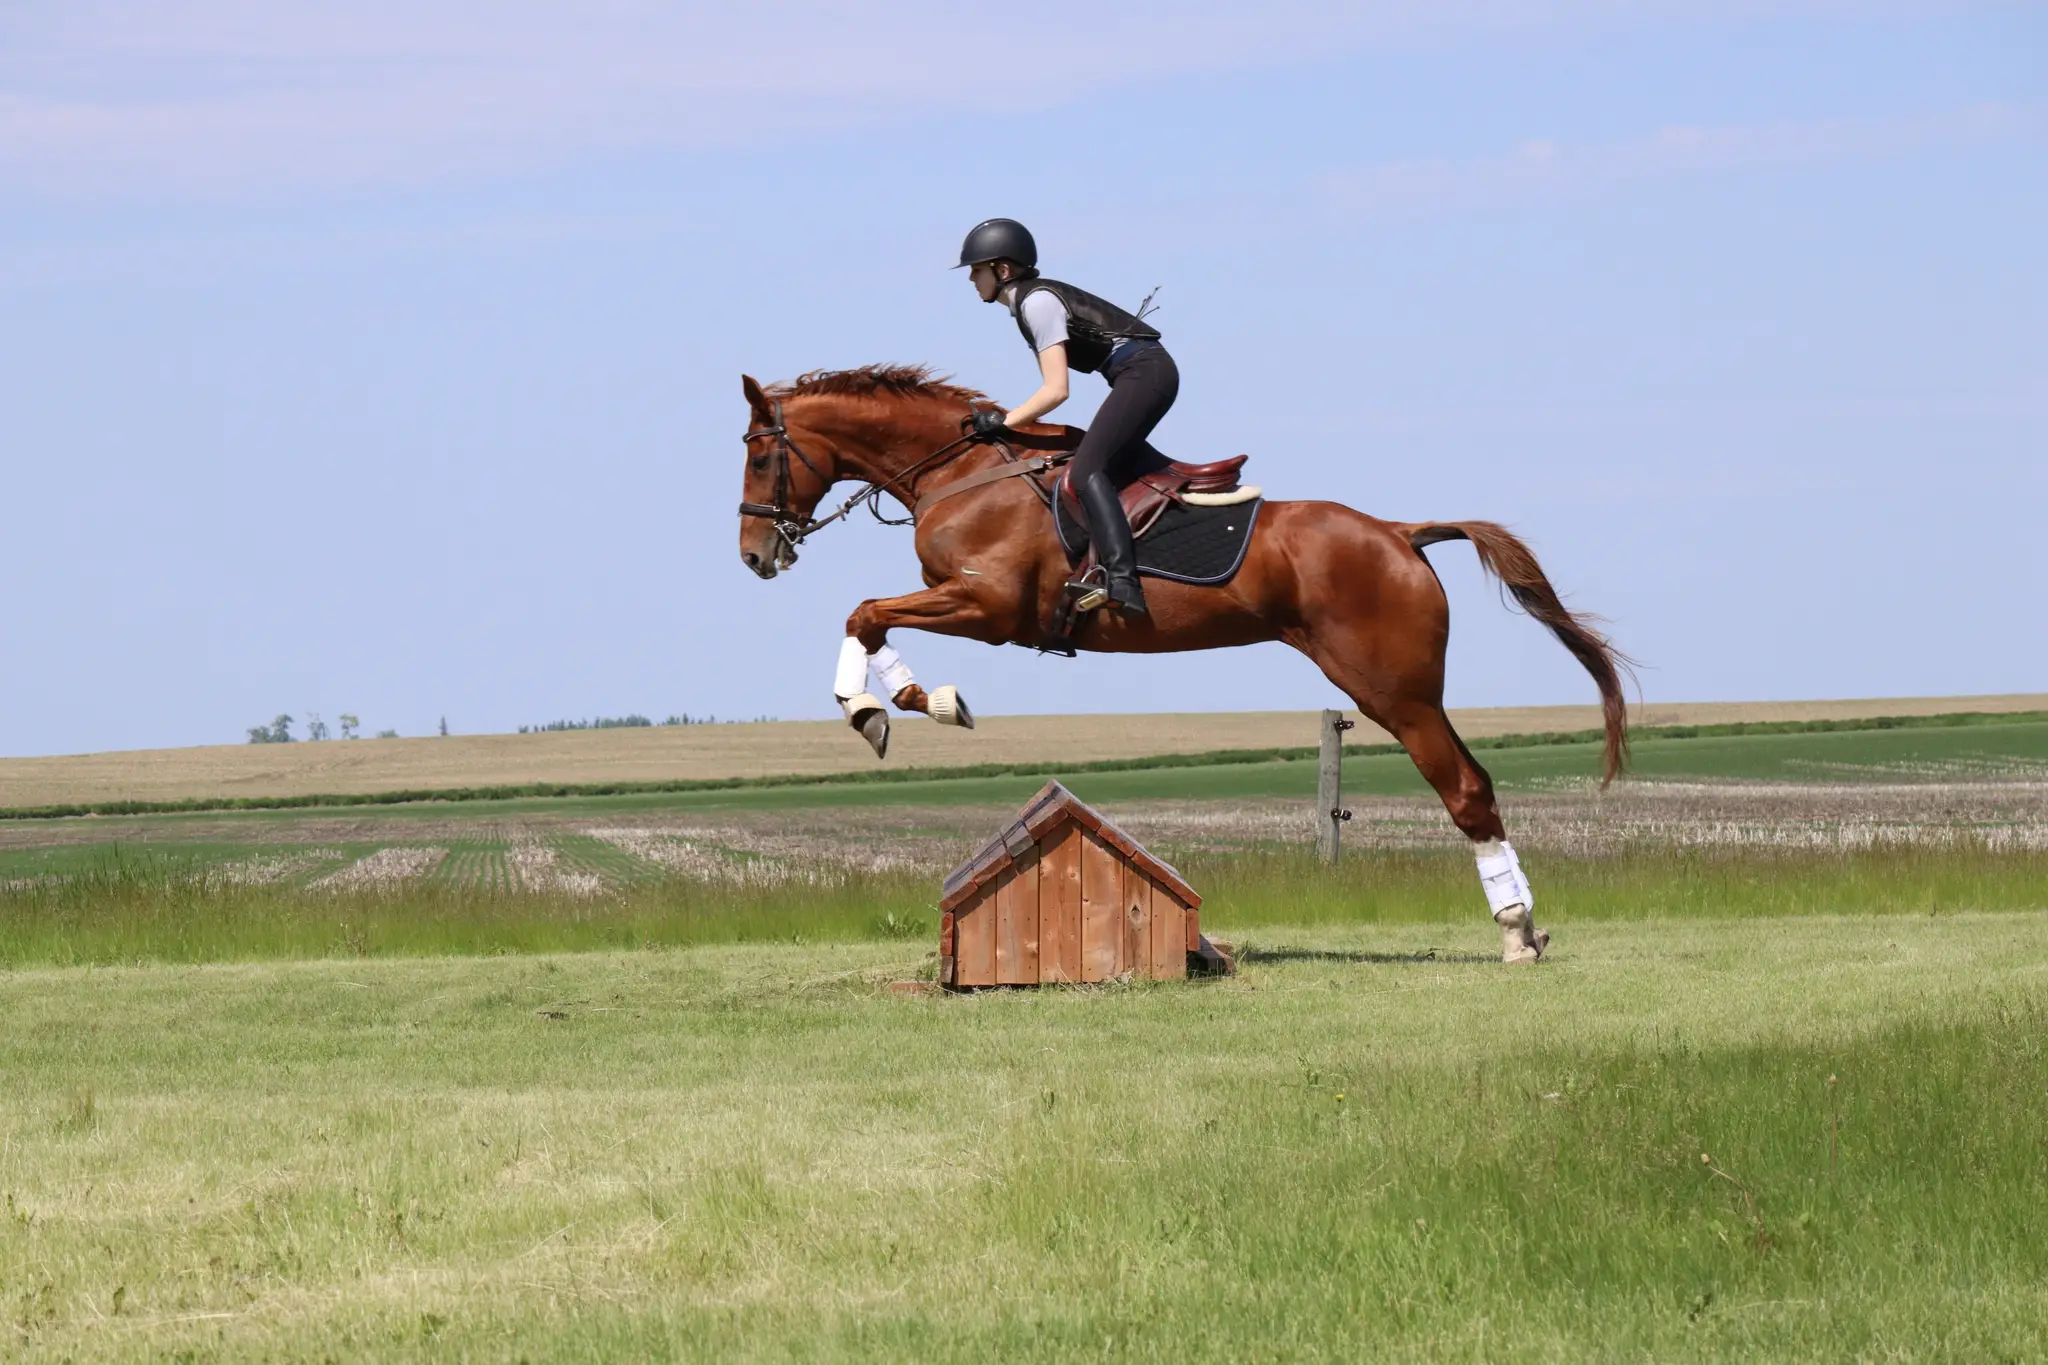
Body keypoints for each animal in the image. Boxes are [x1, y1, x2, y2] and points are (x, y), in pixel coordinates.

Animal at [735, 365, 1631, 963]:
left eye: (756, 455)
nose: (754, 555)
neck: (965, 472)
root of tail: (1399, 533)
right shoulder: (971, 605)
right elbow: (866, 616)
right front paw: (906, 701)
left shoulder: (989, 608)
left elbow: (865, 612)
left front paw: (889, 707)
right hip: (1405, 689)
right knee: (1475, 781)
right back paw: (1525, 925)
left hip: (1392, 690)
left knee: (1465, 789)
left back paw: (1516, 933)